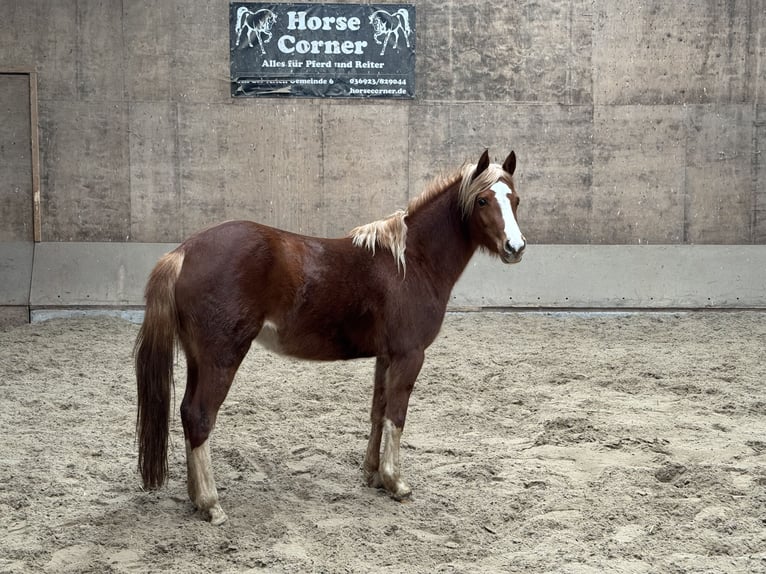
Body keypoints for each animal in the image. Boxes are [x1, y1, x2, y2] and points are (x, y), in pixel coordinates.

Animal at [135, 149, 526, 525]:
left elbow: (378, 411)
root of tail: (184, 252)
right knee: (200, 416)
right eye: (482, 200)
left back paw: (195, 498)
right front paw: (396, 483)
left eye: (516, 199)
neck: (410, 261)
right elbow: (397, 416)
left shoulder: (386, 356)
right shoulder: (409, 355)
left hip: (198, 359)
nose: (516, 247)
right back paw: (211, 504)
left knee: (187, 413)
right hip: (222, 357)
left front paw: (372, 475)